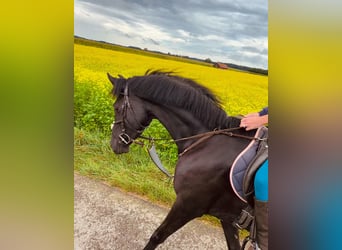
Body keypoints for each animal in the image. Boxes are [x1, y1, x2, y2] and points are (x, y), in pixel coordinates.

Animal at [107, 70, 256, 250]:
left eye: (117, 108)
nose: (114, 144)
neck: (205, 141)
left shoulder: (187, 206)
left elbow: (157, 236)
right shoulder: (226, 217)